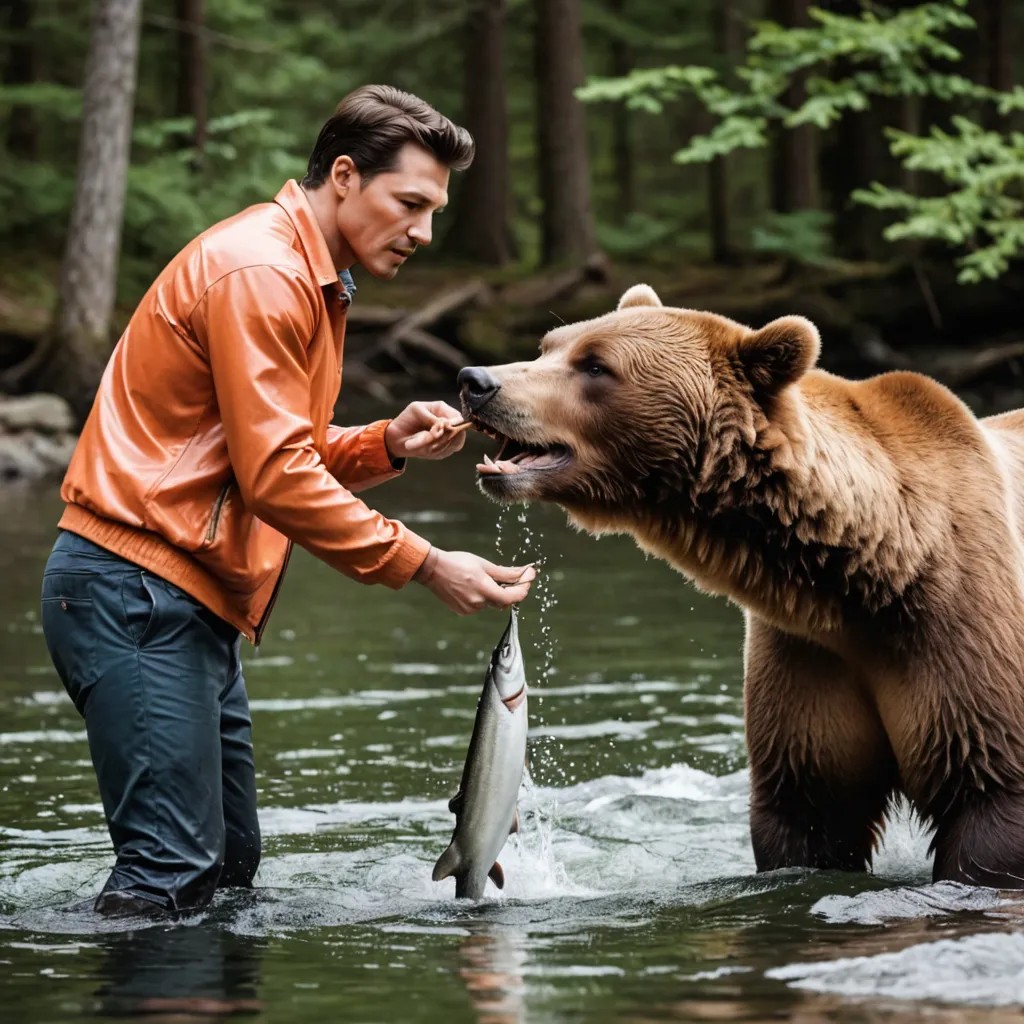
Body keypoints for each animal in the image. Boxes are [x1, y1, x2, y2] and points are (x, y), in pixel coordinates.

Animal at [457, 283, 1024, 889]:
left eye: (595, 365)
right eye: (548, 346)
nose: (476, 381)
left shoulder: (959, 632)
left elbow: (989, 806)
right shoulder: (808, 660)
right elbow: (809, 810)